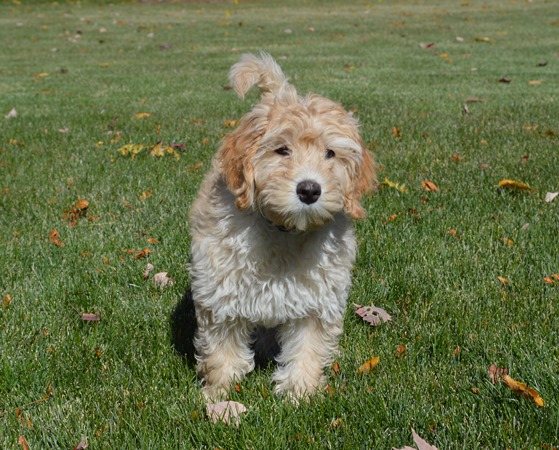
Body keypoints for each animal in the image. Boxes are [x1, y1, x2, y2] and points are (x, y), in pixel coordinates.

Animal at [188, 52, 376, 400]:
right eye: (282, 150)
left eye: (330, 153)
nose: (309, 190)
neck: (283, 232)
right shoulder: (222, 292)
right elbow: (222, 347)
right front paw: (219, 394)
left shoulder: (317, 300)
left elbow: (308, 346)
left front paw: (299, 392)